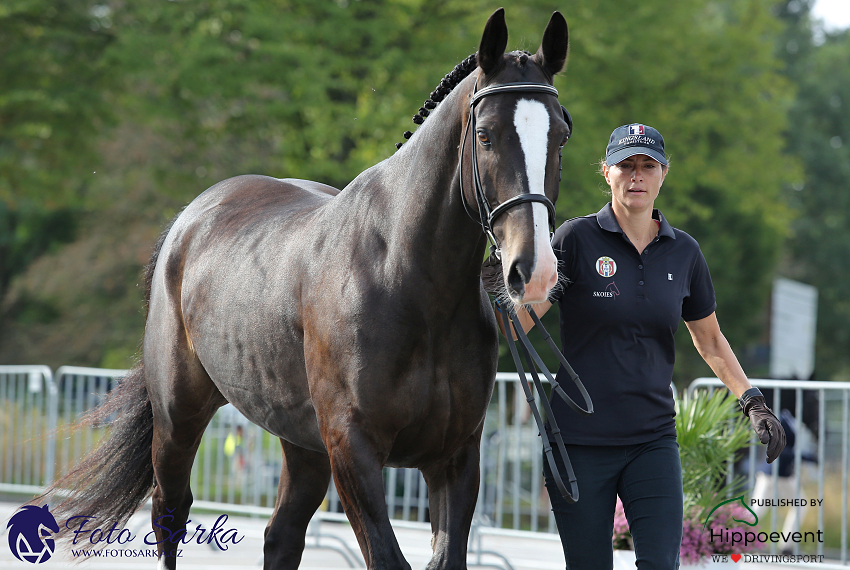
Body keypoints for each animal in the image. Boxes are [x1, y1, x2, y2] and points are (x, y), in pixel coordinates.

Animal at [46, 8, 572, 568]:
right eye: (487, 135)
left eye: (561, 135)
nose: (534, 271)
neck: (409, 280)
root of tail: (188, 220)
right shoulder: (353, 450)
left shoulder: (454, 457)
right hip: (177, 420)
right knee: (171, 511)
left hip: (302, 442)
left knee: (281, 534)